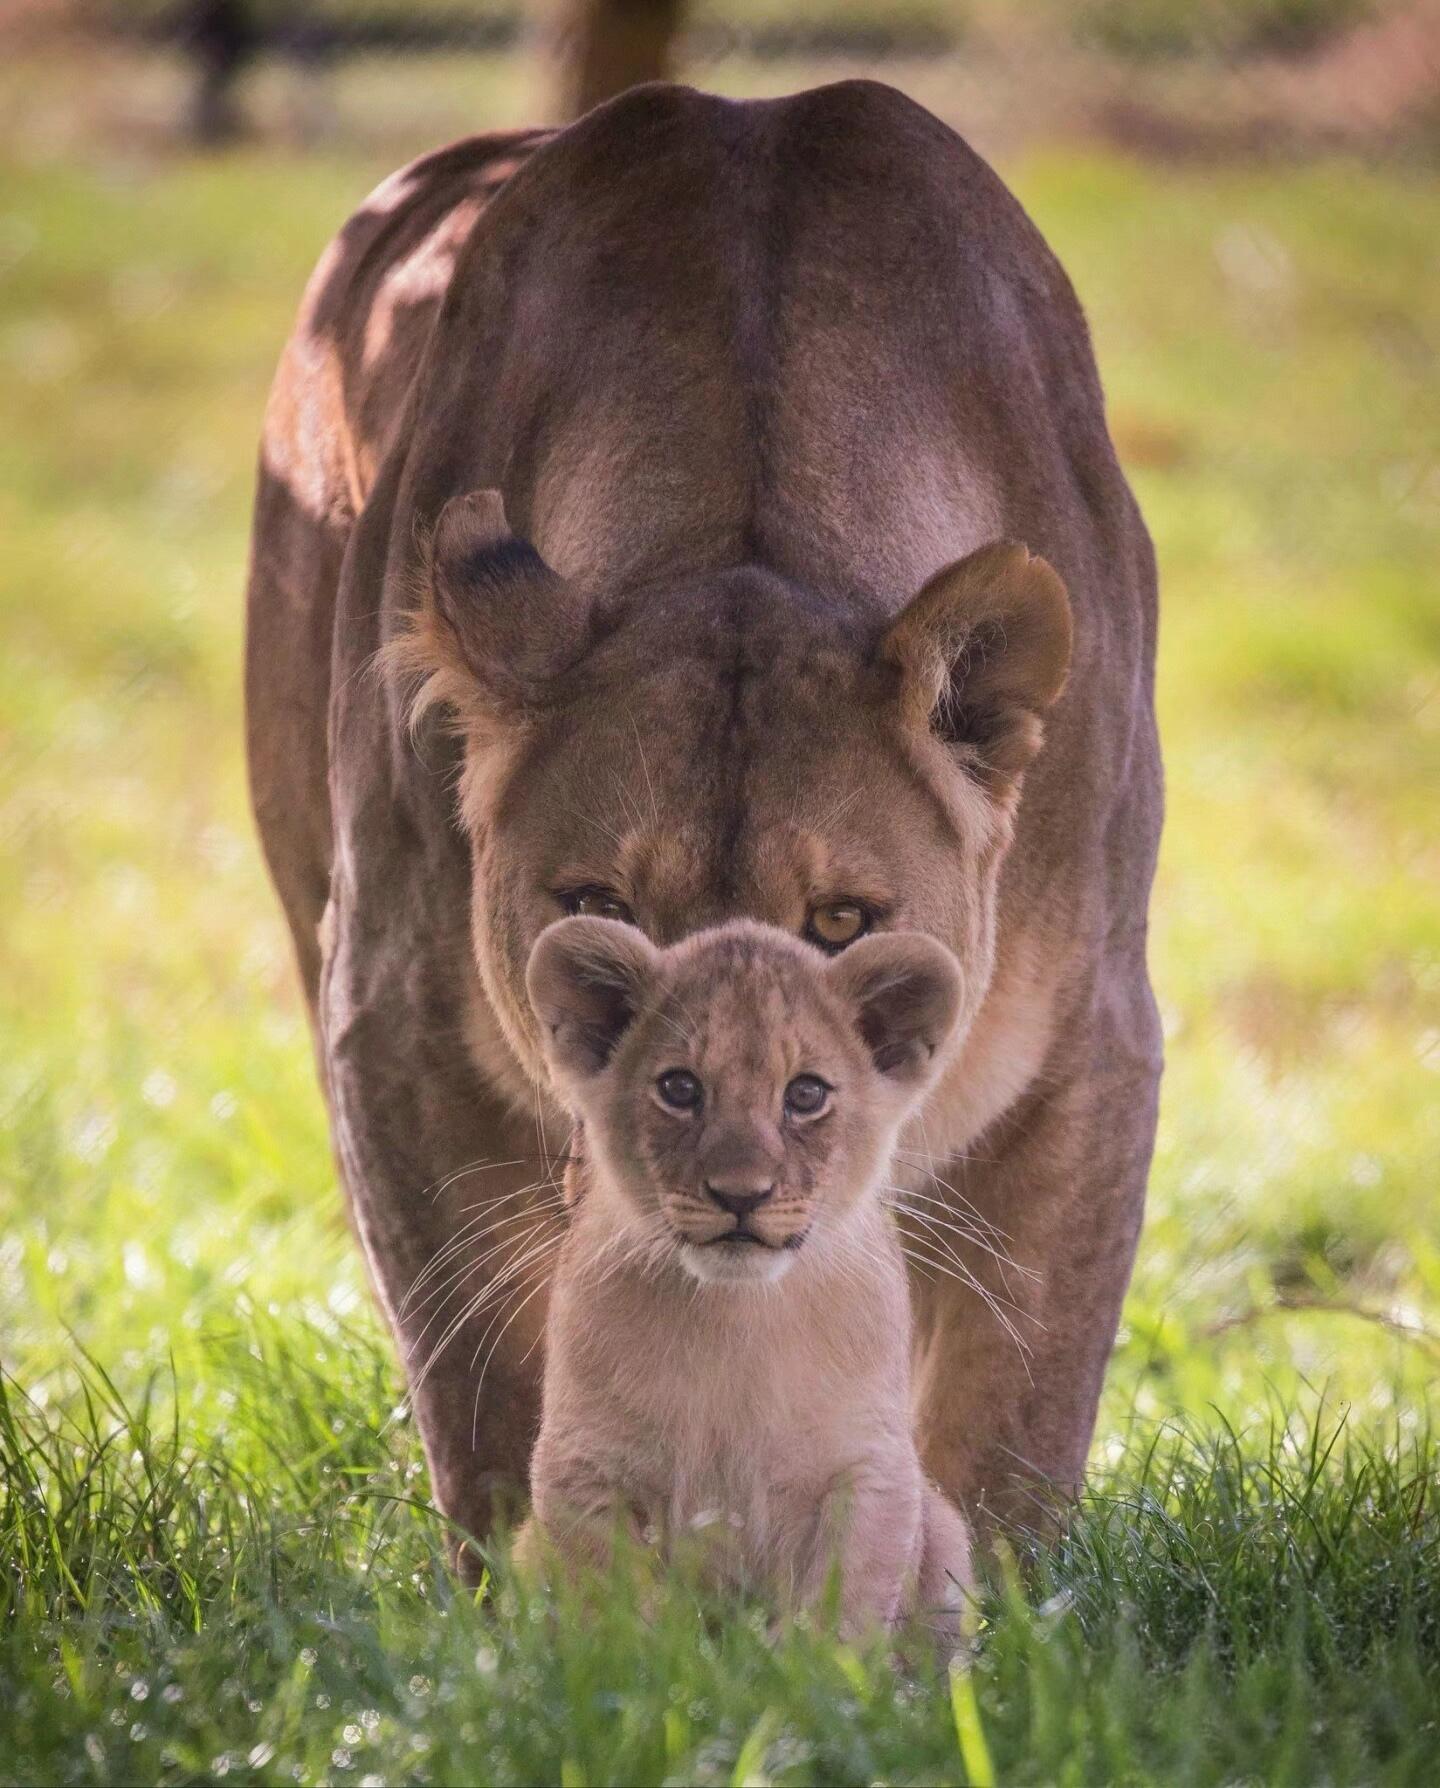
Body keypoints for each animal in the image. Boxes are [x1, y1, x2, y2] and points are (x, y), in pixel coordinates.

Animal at [511, 915, 973, 1637]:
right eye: (680, 1089)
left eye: (806, 1094)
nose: (740, 1194)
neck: (735, 1315)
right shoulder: (582, 1467)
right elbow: (618, 1611)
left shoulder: (869, 1469)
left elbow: (840, 1612)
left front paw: (816, 1665)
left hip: (948, 1535)